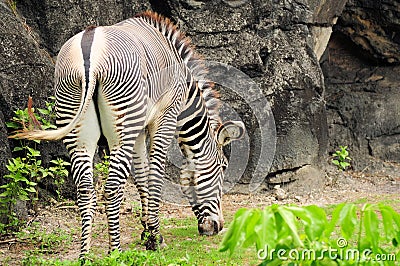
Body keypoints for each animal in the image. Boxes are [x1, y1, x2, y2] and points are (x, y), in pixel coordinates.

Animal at [10, 10, 245, 258]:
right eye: (223, 167)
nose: (217, 227)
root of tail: (90, 49)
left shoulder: (139, 129)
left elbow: (141, 175)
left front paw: (147, 230)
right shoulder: (165, 117)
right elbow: (154, 175)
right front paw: (155, 238)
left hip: (78, 125)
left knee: (85, 190)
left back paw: (84, 255)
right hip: (122, 127)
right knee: (112, 188)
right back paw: (115, 251)